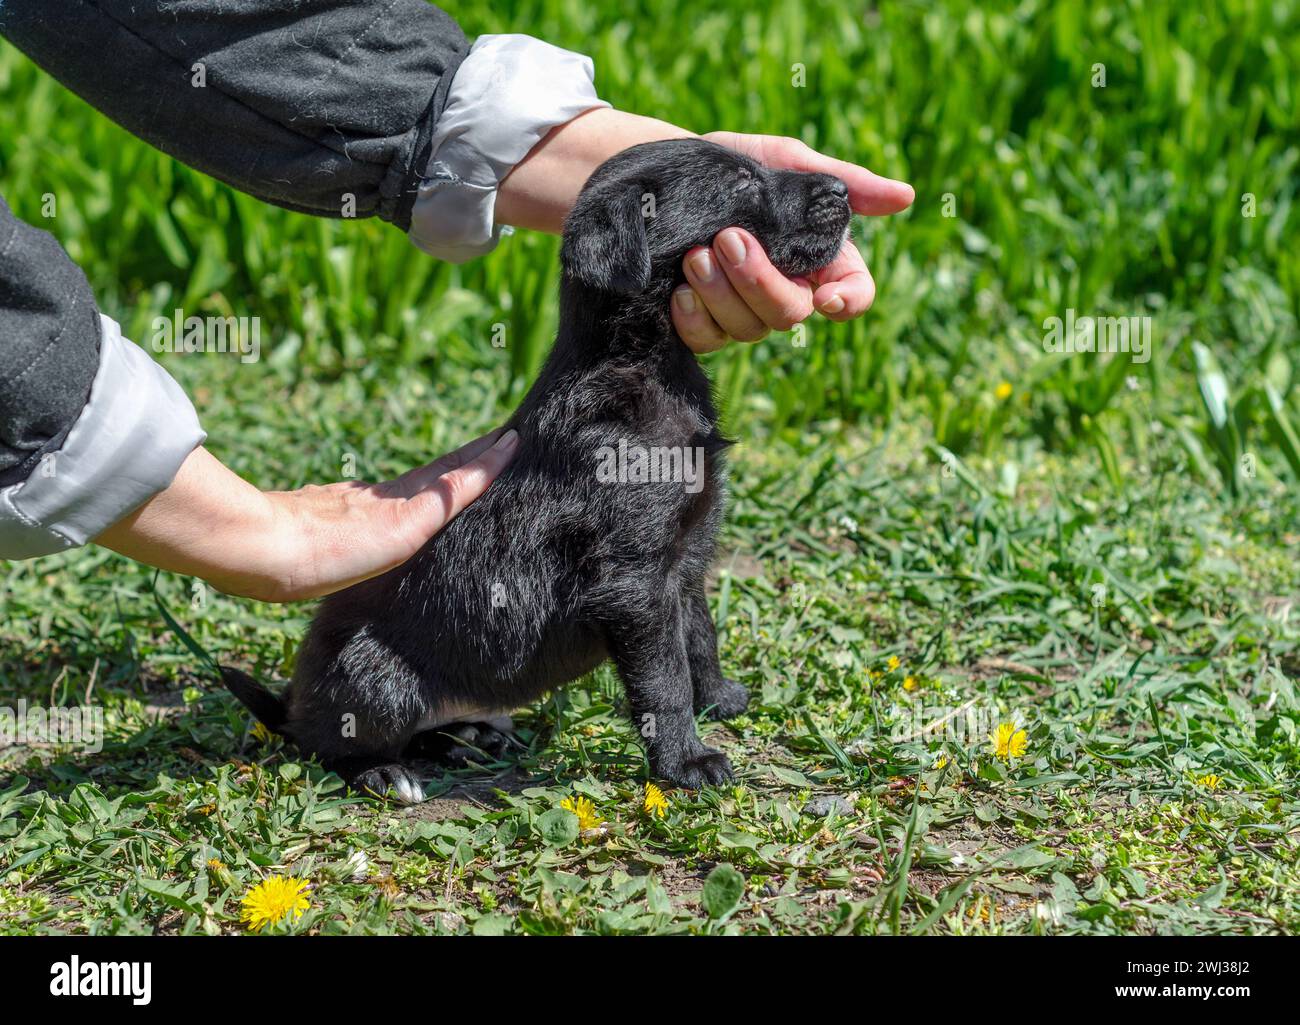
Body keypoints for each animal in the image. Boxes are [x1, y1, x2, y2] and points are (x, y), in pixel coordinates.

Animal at [226, 137, 852, 801]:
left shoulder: (684, 563)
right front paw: (686, 761)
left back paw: (471, 738)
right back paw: (385, 772)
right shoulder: (633, 582)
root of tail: (292, 703)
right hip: (371, 674)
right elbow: (664, 679)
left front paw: (719, 699)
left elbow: (698, 639)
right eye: (740, 184)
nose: (842, 188)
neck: (642, 365)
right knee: (329, 745)